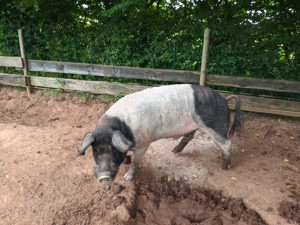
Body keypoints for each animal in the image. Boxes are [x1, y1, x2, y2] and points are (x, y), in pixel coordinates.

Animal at [77, 84, 241, 185]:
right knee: (189, 136)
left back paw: (224, 167)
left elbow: (136, 161)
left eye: (113, 150)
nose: (104, 177)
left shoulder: (143, 143)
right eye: (96, 150)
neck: (123, 127)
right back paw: (174, 151)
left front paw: (128, 177)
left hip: (216, 126)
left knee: (227, 143)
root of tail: (224, 99)